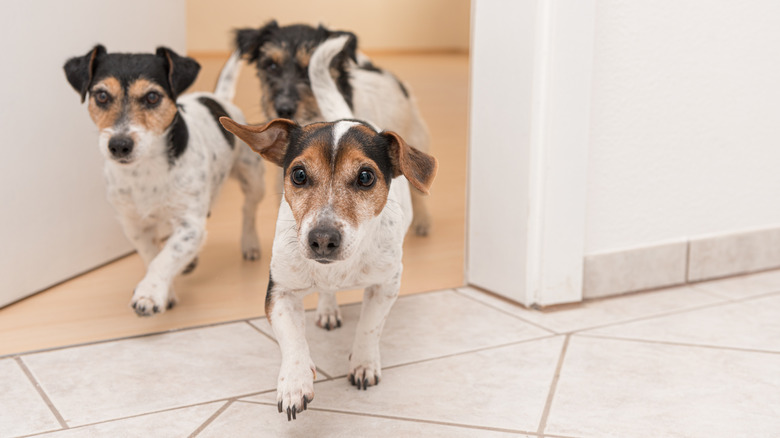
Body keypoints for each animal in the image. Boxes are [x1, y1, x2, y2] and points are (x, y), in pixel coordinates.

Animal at [64, 47, 266, 314]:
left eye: (152, 97)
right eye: (102, 96)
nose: (119, 145)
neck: (145, 171)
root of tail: (217, 97)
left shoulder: (190, 224)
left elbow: (166, 257)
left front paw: (149, 294)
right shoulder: (135, 226)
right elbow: (154, 255)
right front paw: (165, 290)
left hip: (253, 179)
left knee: (249, 209)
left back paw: (250, 242)